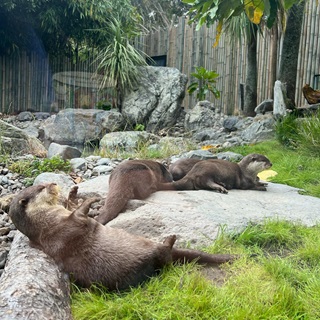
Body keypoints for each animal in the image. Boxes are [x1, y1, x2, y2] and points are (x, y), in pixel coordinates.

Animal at [8, 182, 236, 290]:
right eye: (41, 188)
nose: (54, 183)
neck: (49, 221)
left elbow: (75, 208)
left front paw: (73, 193)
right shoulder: (64, 230)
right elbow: (80, 218)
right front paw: (90, 200)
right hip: (155, 261)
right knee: (165, 259)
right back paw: (169, 240)